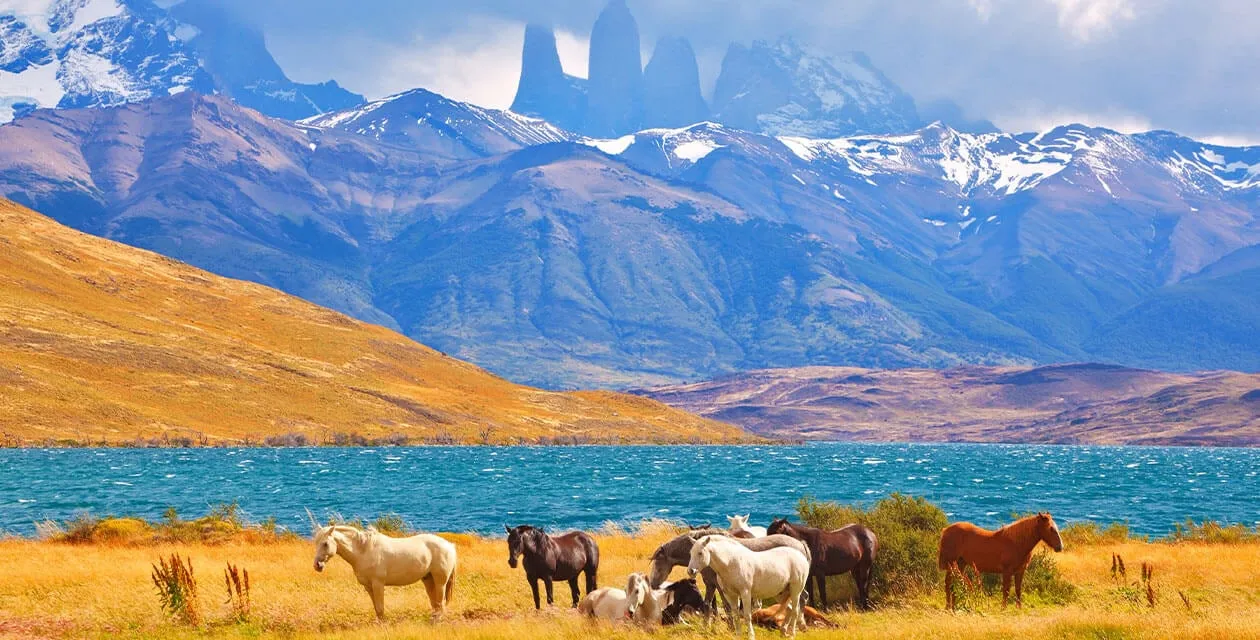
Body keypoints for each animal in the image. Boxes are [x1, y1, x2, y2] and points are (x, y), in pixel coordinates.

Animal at [310, 518, 457, 620]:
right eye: (316, 542)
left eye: (325, 543)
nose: (317, 565)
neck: (364, 551)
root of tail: (449, 545)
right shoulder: (368, 587)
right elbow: (376, 608)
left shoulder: (378, 584)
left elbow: (380, 608)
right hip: (428, 579)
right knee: (435, 604)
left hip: (440, 582)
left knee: (440, 603)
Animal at [648, 529, 811, 612]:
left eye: (658, 562)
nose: (653, 584)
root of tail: (801, 545)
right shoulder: (713, 584)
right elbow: (710, 606)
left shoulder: (716, 584)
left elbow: (724, 607)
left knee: (802, 599)